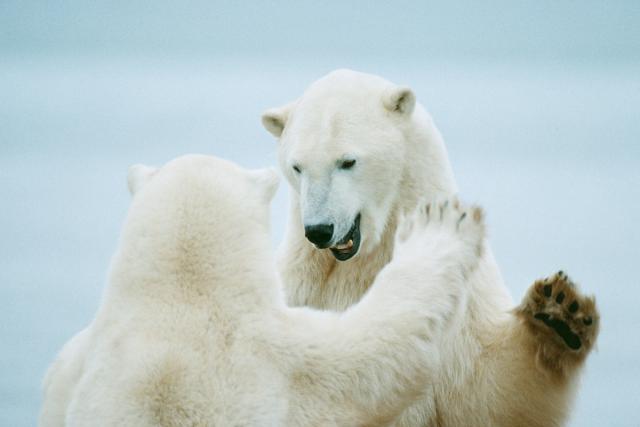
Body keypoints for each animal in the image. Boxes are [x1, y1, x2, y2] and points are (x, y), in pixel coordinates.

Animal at [262, 69, 600, 427]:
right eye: (297, 166)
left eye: (347, 161)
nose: (319, 230)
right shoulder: (298, 289)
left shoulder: (463, 307)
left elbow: (488, 396)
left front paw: (560, 313)